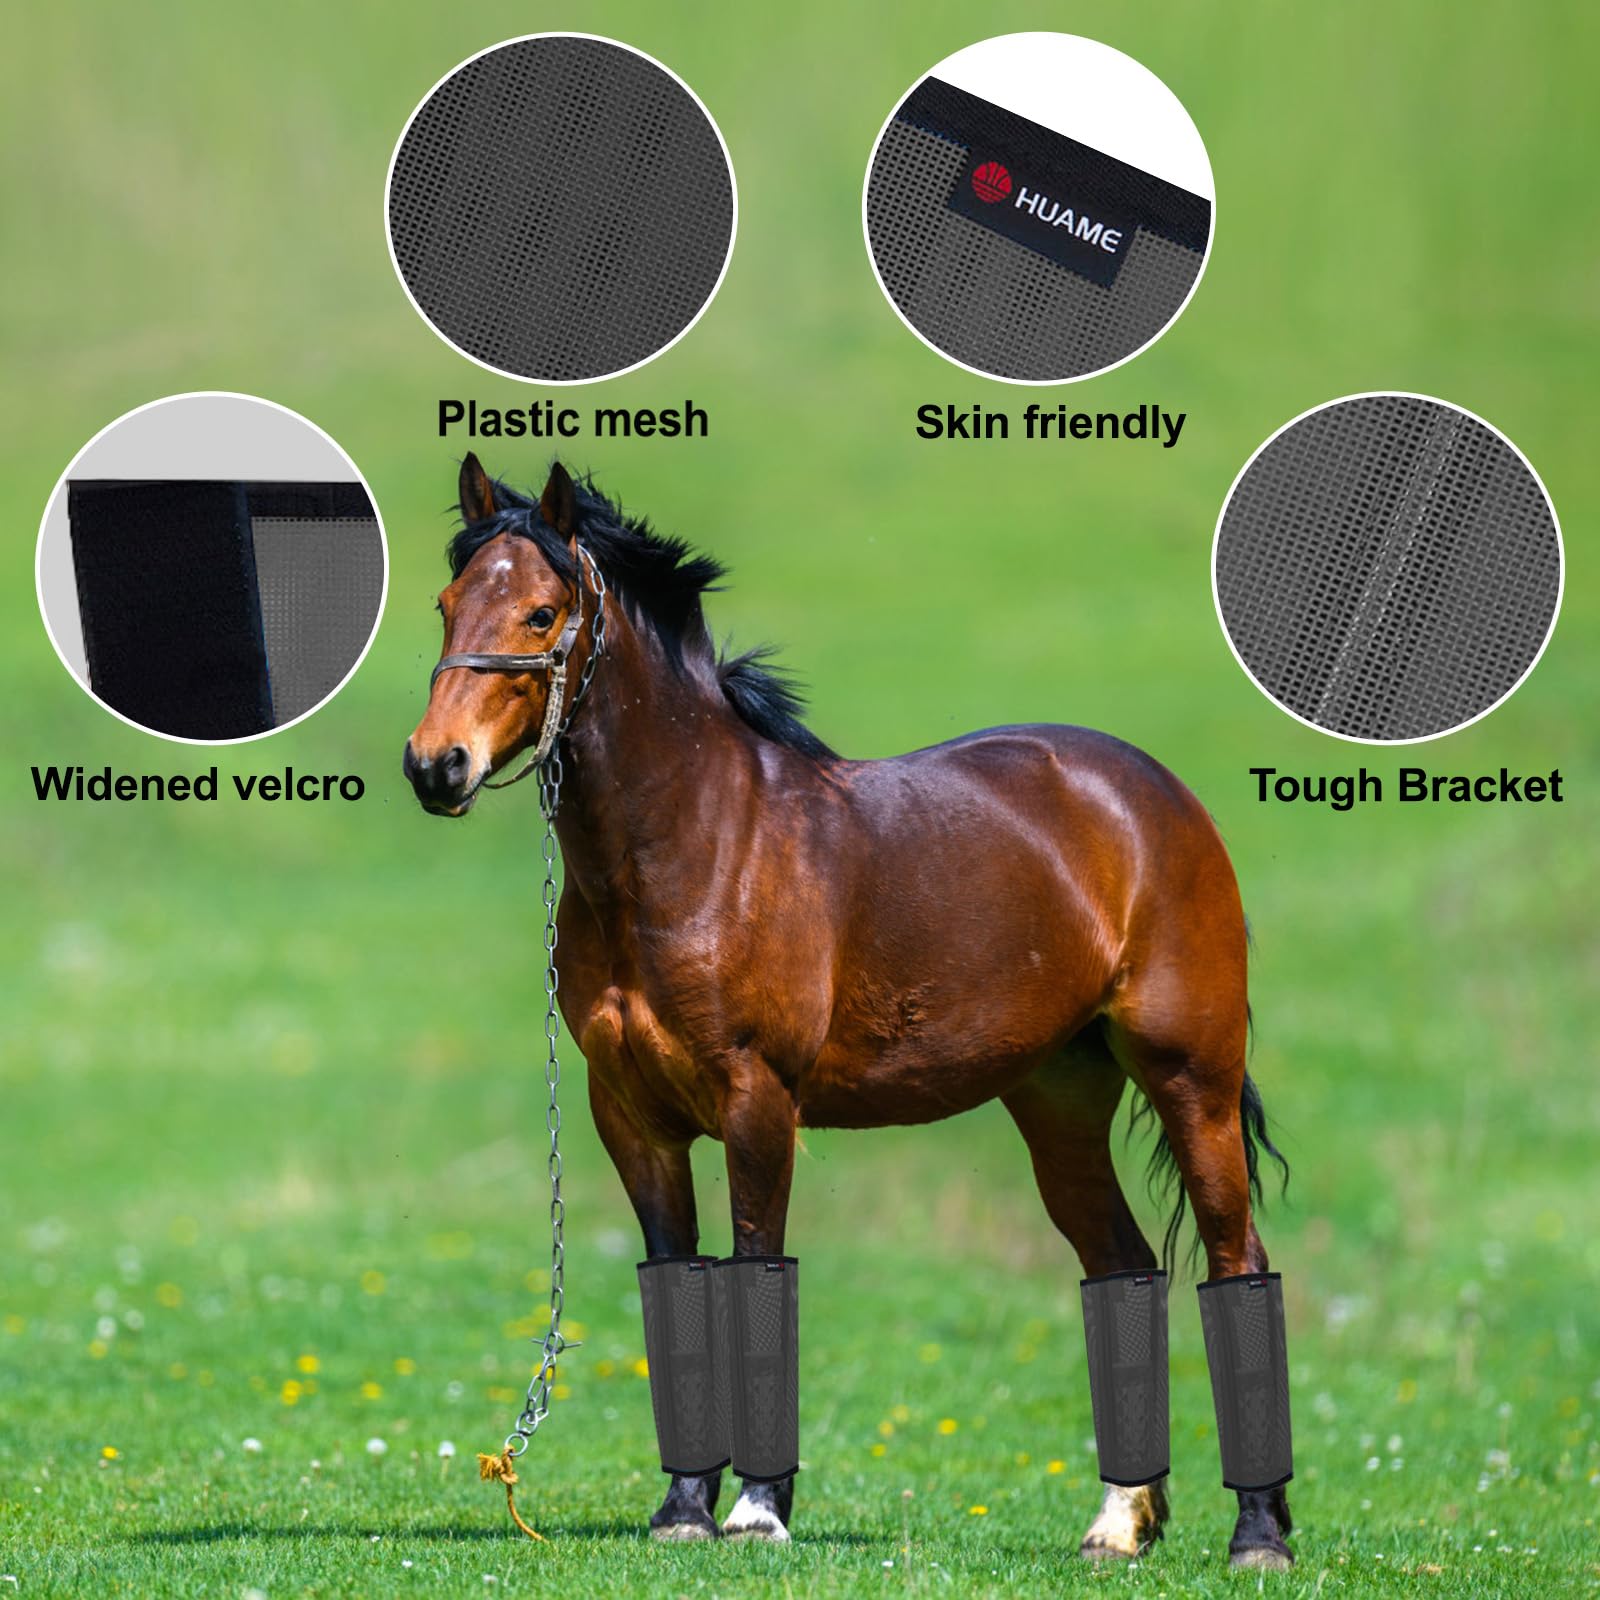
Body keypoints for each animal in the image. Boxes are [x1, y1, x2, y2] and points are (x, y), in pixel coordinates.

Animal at [404, 456, 1294, 1568]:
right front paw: (683, 1507)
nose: (435, 766)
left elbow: (756, 1266)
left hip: (1191, 1082)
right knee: (1123, 1268)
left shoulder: (757, 1101)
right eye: (447, 604)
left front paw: (756, 1508)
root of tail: (1153, 795)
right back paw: (1118, 1522)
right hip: (1058, 1103)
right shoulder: (632, 1116)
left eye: (539, 612)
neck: (696, 845)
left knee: (1237, 1261)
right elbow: (677, 1276)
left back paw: (1258, 1534)